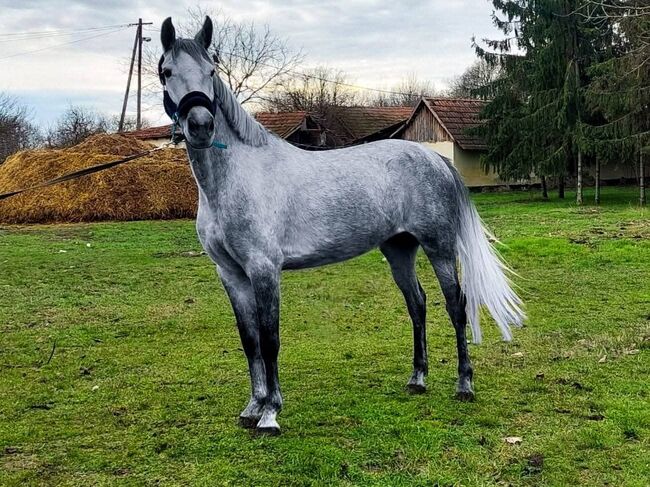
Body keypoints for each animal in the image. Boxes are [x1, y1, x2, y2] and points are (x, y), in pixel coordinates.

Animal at [158, 16, 525, 435]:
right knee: (417, 304)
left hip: (440, 248)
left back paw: (464, 385)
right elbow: (249, 340)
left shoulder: (264, 269)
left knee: (455, 305)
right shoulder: (230, 274)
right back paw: (417, 380)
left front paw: (270, 414)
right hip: (399, 249)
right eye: (167, 71)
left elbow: (270, 339)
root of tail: (435, 159)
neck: (237, 177)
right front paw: (252, 408)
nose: (201, 126)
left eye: (211, 71)